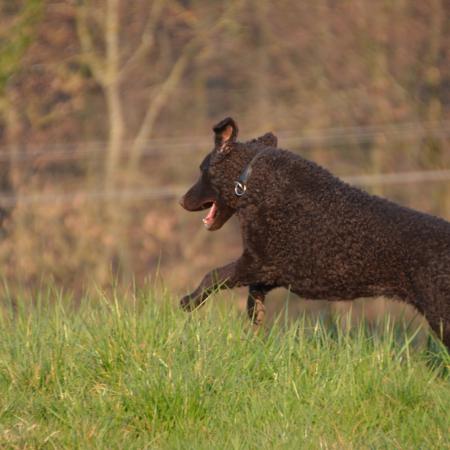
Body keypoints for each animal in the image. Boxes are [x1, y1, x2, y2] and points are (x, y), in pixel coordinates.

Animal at [179, 117, 450, 348]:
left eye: (202, 169)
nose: (181, 201)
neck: (253, 183)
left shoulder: (259, 262)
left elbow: (213, 276)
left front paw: (188, 302)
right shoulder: (271, 269)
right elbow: (254, 291)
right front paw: (255, 315)